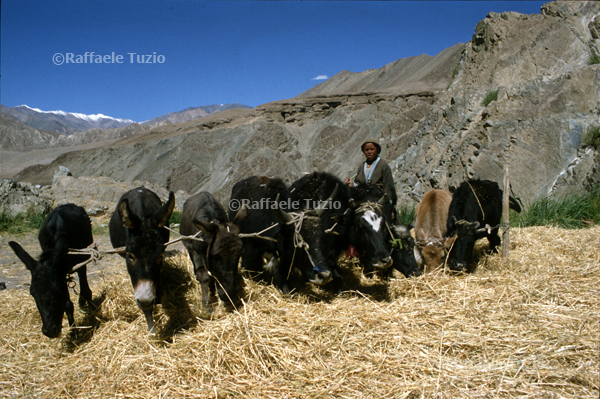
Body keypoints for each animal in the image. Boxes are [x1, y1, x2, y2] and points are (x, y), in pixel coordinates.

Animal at [8, 205, 94, 340]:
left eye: (56, 291)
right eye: (32, 293)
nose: (49, 331)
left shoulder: (79, 261)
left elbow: (83, 288)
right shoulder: (61, 275)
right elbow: (67, 304)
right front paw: (73, 332)